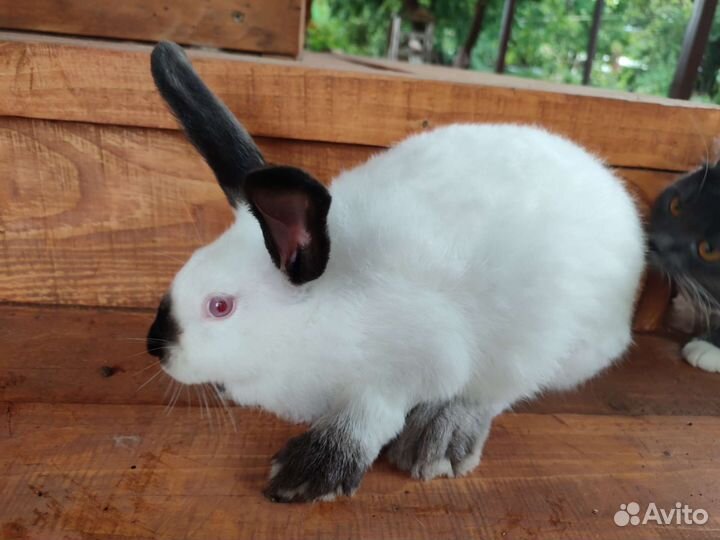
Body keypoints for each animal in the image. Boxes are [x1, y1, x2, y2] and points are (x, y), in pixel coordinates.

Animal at [147, 41, 645, 503]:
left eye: (220, 306)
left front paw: (309, 472)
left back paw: (440, 437)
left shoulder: (414, 360)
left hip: (538, 343)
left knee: (496, 391)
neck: (319, 314)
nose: (156, 348)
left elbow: (372, 413)